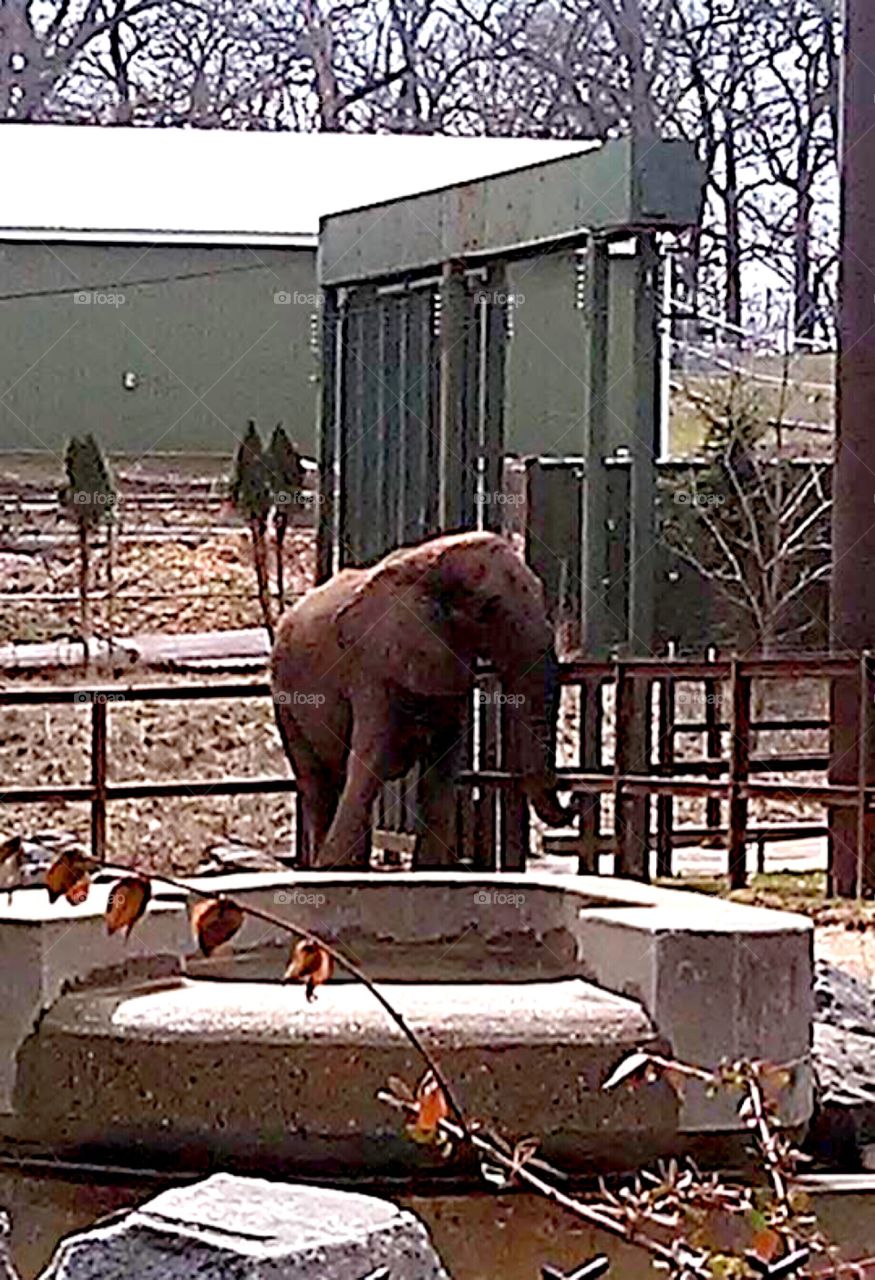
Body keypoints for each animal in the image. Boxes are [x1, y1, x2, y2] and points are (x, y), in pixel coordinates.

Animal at [271, 530, 568, 869]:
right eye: (488, 608)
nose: (572, 804)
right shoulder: (371, 669)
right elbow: (371, 760)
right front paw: (337, 869)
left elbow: (443, 765)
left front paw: (431, 870)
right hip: (284, 698)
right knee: (318, 782)